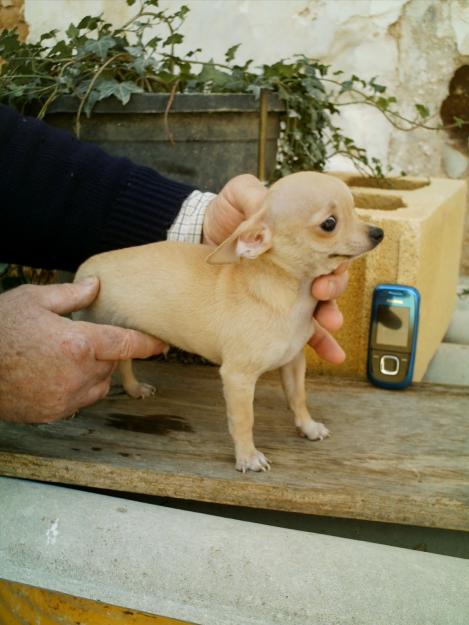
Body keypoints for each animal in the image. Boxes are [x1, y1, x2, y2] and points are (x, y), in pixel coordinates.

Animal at [72, 171, 380, 468]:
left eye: (355, 210)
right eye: (330, 224)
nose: (379, 232)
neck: (291, 295)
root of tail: (87, 266)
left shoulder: (293, 361)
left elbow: (298, 397)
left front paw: (308, 426)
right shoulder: (237, 377)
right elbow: (244, 421)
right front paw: (247, 456)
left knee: (124, 361)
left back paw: (134, 388)